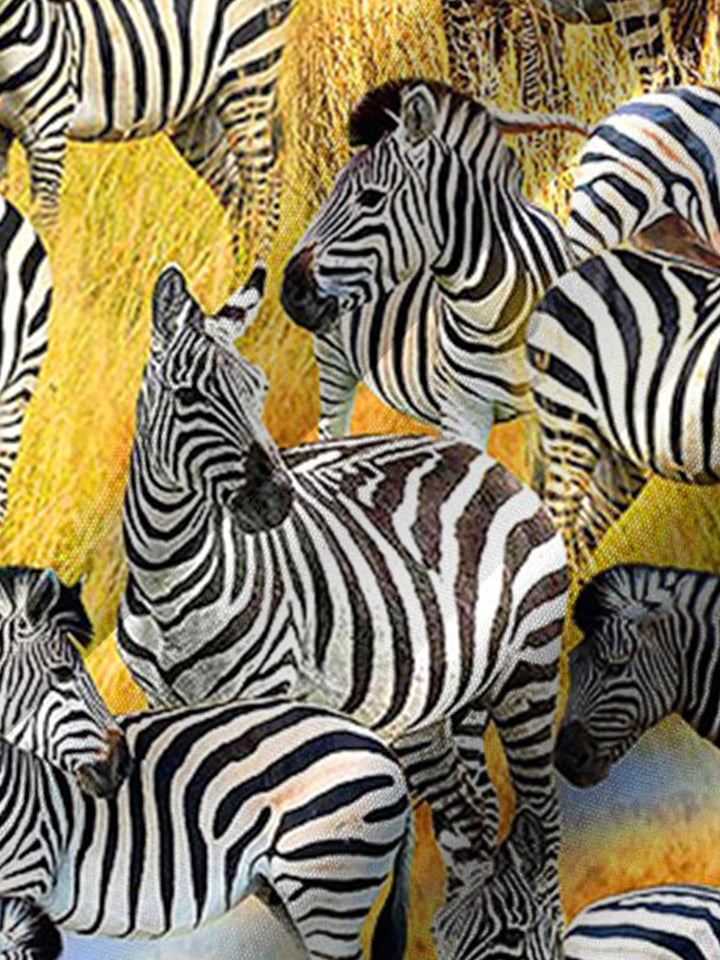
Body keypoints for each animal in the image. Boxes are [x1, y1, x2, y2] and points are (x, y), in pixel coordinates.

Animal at [0, 0, 294, 247]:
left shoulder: (47, 124)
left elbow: (44, 221)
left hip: (248, 79)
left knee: (264, 194)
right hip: (201, 111)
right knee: (237, 195)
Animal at [117, 260, 570, 955]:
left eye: (258, 390)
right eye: (190, 396)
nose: (275, 500)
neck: (171, 584)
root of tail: (472, 451)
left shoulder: (270, 710)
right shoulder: (173, 718)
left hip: (530, 669)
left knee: (541, 816)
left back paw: (539, 931)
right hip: (428, 706)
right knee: (471, 822)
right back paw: (465, 930)